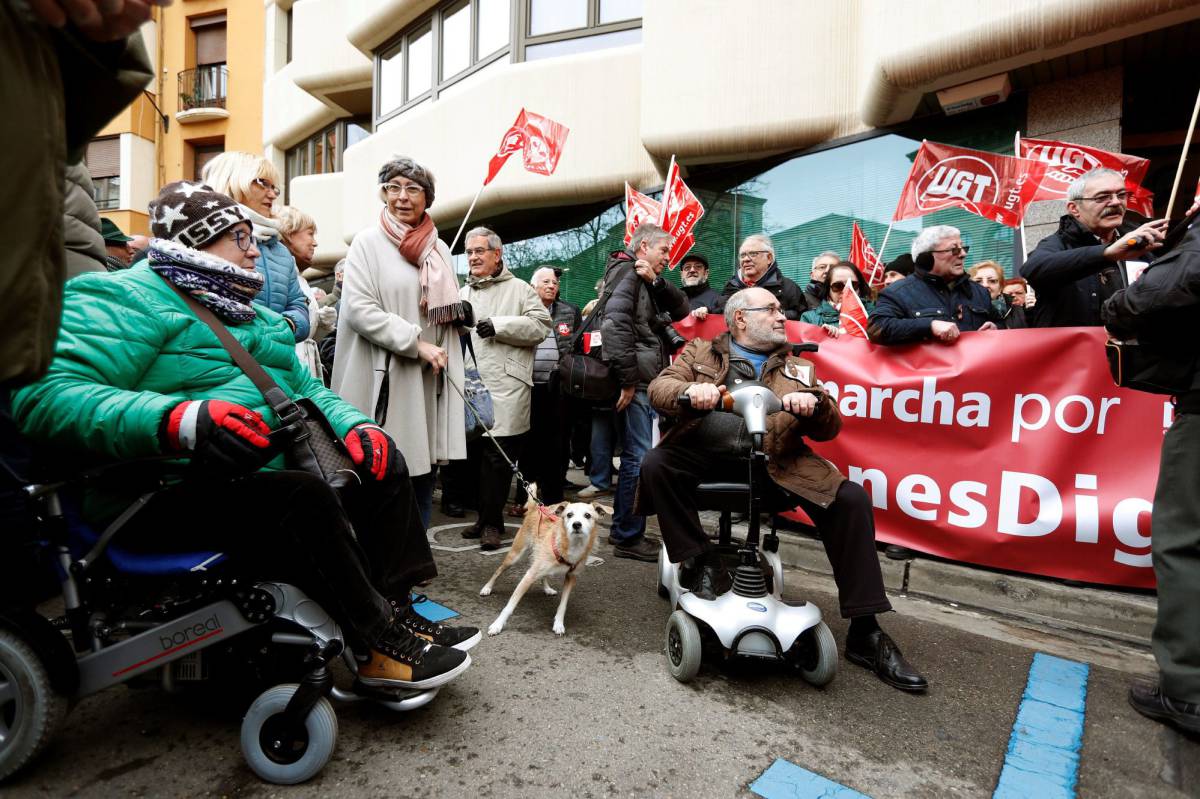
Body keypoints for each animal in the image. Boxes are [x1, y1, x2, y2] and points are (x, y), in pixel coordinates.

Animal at [477, 484, 614, 633]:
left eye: (587, 515)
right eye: (569, 515)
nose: (576, 524)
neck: (572, 545)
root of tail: (536, 508)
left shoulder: (571, 577)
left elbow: (563, 605)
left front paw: (558, 623)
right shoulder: (529, 576)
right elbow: (510, 606)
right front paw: (497, 625)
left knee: (543, 575)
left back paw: (547, 588)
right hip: (515, 556)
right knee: (499, 570)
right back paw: (487, 588)